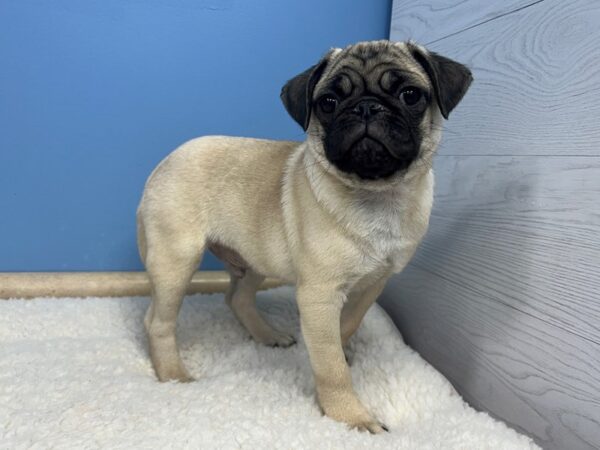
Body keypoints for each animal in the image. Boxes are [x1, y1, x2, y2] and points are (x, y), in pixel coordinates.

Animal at [137, 41, 474, 432]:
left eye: (410, 95)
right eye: (328, 102)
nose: (366, 106)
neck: (377, 196)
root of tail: (164, 162)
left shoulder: (372, 285)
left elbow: (343, 331)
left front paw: (340, 354)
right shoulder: (320, 296)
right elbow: (331, 369)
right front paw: (351, 417)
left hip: (253, 259)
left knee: (237, 298)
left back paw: (267, 336)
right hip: (176, 260)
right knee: (158, 322)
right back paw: (174, 375)